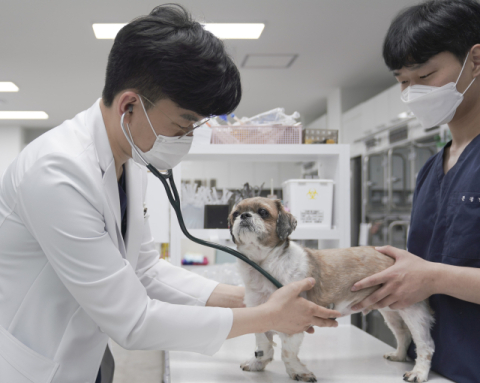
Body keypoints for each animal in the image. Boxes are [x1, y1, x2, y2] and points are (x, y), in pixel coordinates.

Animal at [229, 198, 436, 383]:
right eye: (235, 214)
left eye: (263, 212)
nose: (245, 216)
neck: (263, 265)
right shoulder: (262, 312)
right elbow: (263, 344)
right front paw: (257, 363)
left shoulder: (293, 320)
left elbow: (287, 353)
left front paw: (297, 372)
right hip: (391, 312)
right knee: (403, 334)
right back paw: (399, 355)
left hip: (413, 311)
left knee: (425, 345)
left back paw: (418, 373)